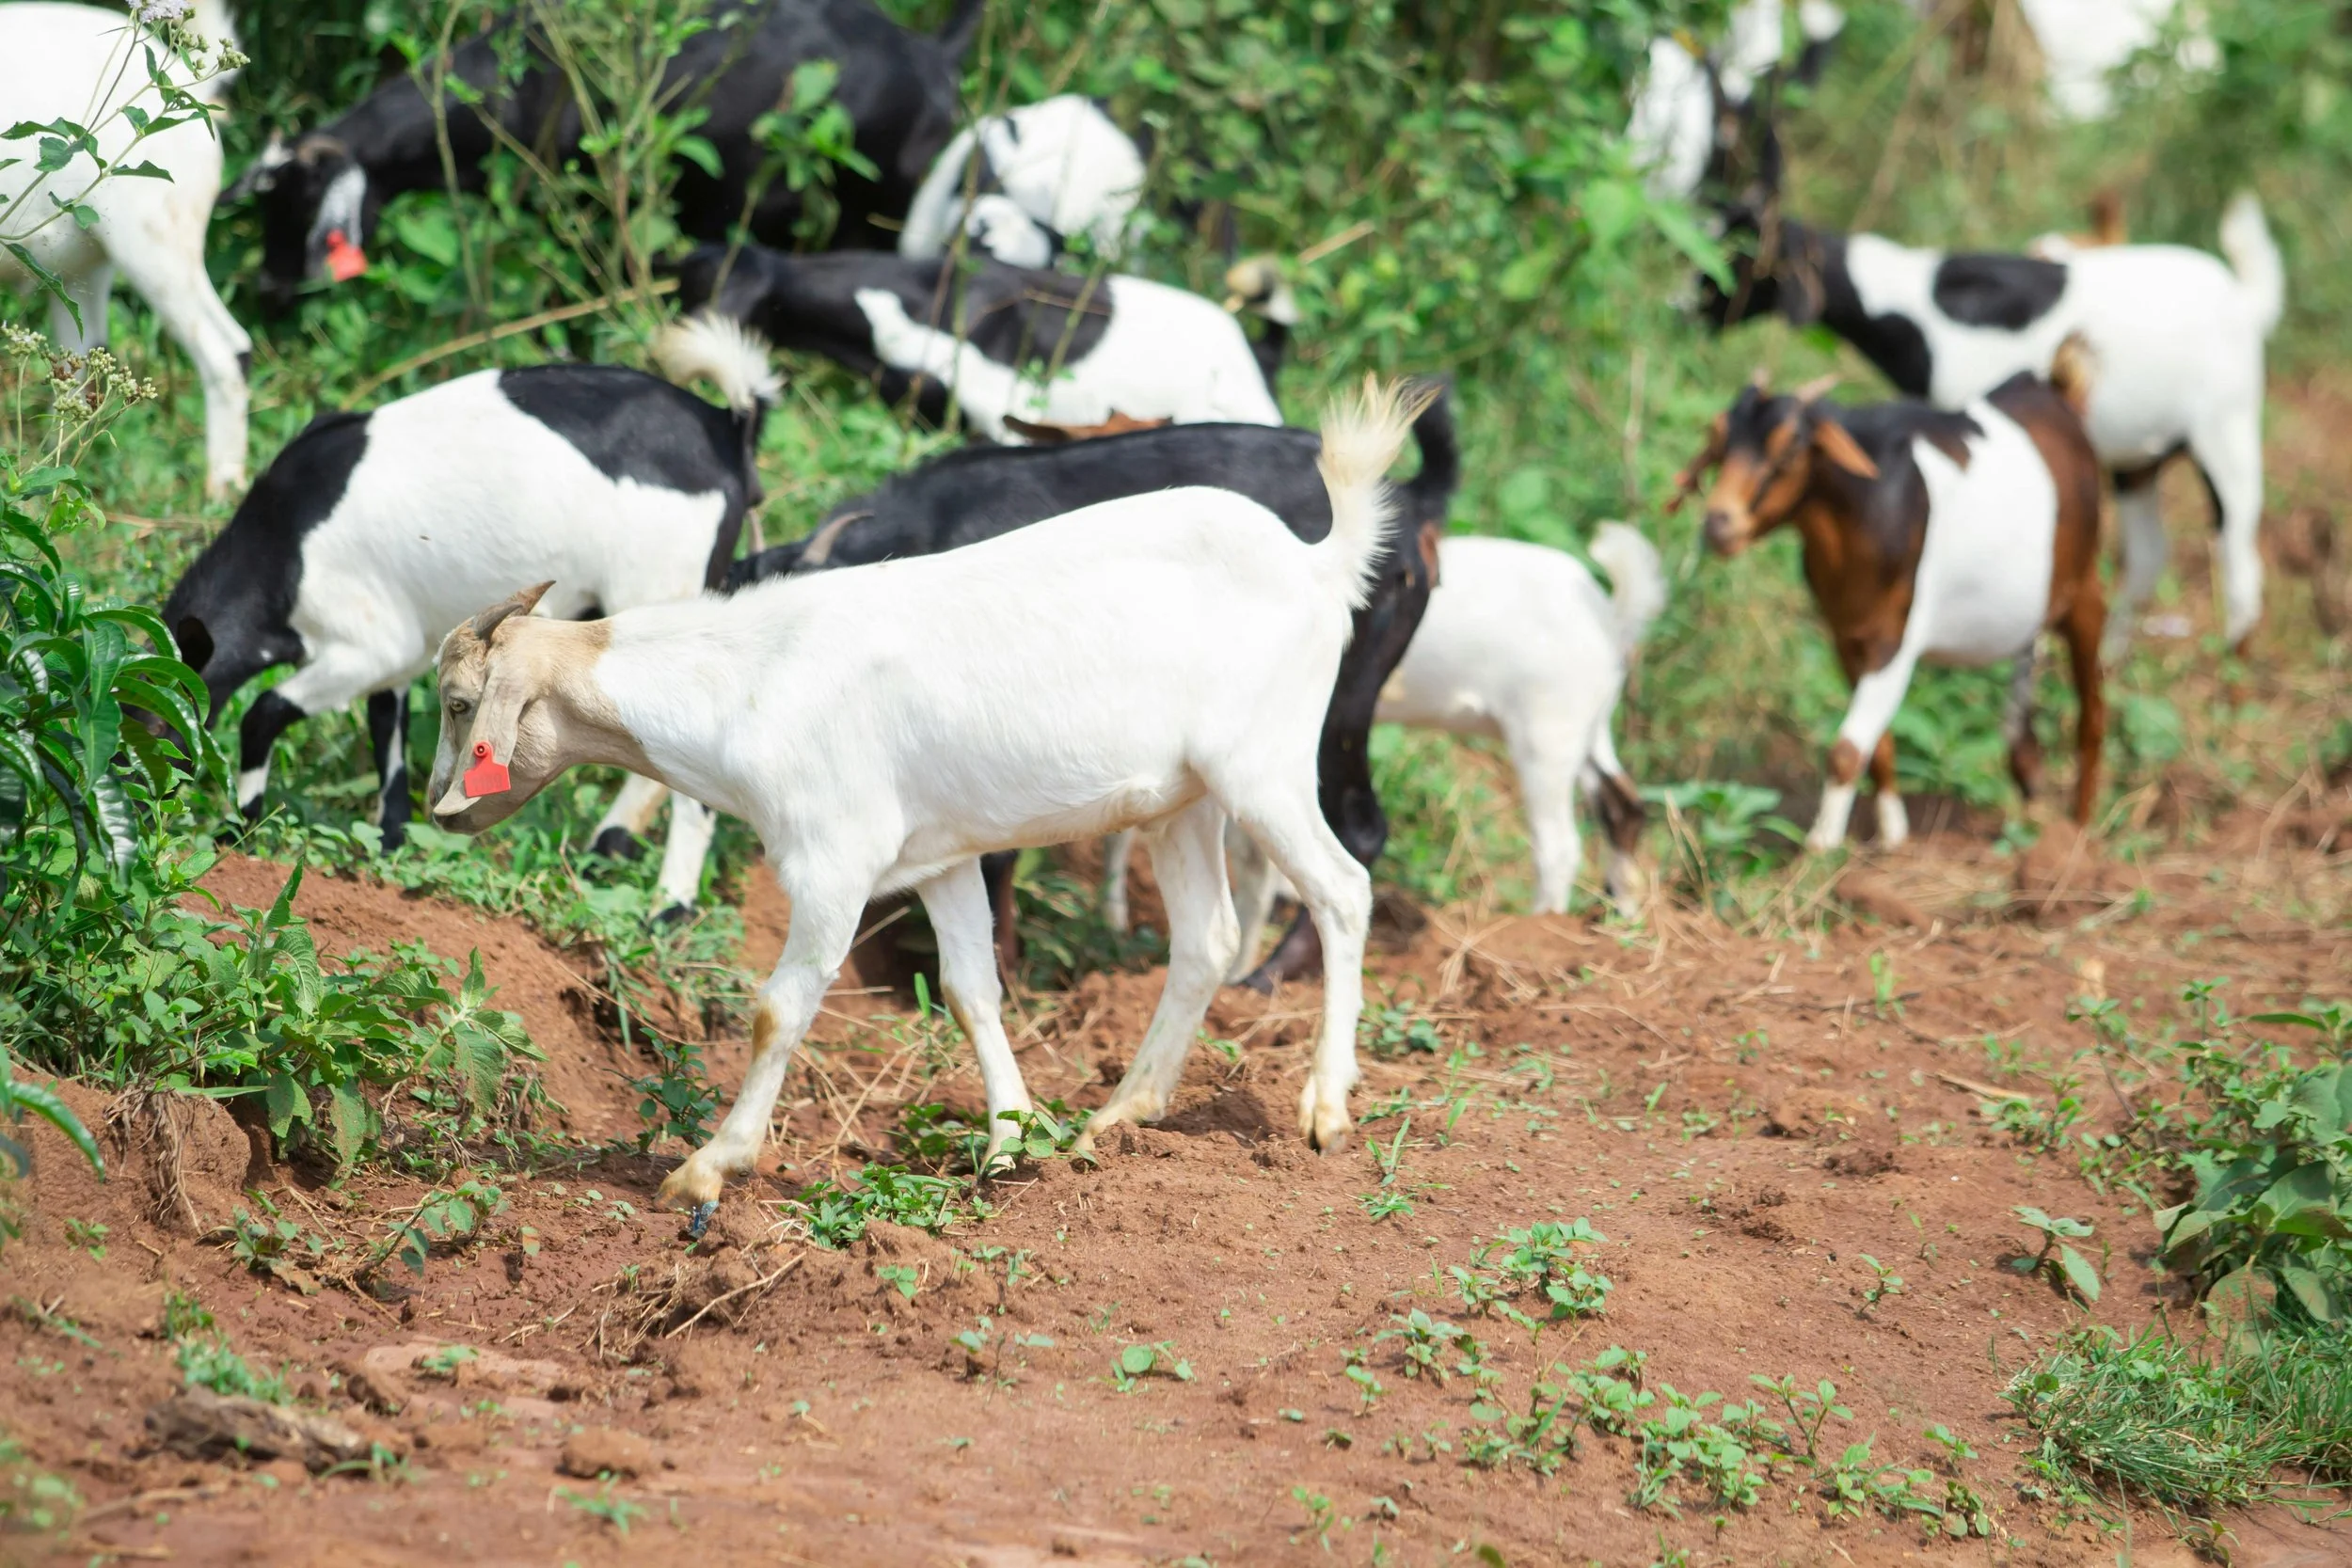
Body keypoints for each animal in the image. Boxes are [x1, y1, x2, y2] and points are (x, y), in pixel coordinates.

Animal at [163, 316, 776, 915]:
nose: (148, 802)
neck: (286, 545)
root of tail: (726, 427)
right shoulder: (404, 655)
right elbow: (386, 732)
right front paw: (391, 840)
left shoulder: (367, 644)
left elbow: (262, 711)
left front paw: (238, 828)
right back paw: (608, 850)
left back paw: (670, 900)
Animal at [716, 388, 1460, 974]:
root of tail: (1409, 506)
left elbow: (999, 861)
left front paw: (1005, 971)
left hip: (1334, 706)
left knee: (1358, 833)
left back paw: (1266, 980)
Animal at [1370, 527, 1665, 919]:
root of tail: (1609, 617)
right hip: (1591, 725)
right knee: (1623, 805)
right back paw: (1623, 914)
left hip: (1547, 731)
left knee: (1559, 846)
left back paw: (1542, 922)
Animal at [1667, 352, 2106, 852]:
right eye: (1720, 443)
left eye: (1789, 450)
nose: (1719, 524)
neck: (1862, 510)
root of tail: (2055, 391)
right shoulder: (1845, 637)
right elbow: (1876, 743)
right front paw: (1894, 836)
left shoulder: (1895, 640)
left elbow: (1846, 750)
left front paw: (1820, 849)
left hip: (2085, 587)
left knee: (2092, 714)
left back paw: (2079, 829)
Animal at [1702, 192, 2283, 658]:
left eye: (1741, 256)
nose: (1689, 308)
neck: (1919, 312)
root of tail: (2244, 299)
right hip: (2140, 458)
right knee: (2146, 558)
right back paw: (2113, 658)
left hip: (2226, 426)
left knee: (2241, 557)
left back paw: (2233, 673)